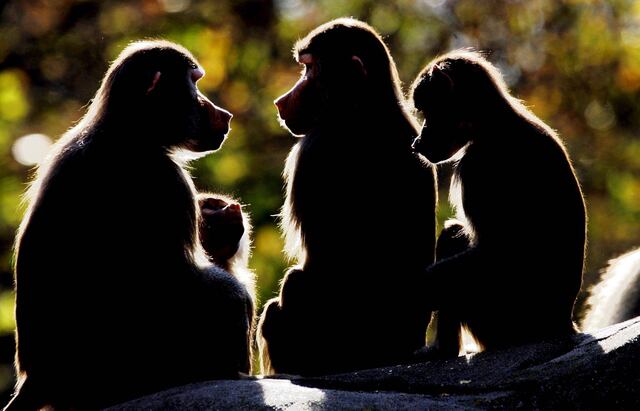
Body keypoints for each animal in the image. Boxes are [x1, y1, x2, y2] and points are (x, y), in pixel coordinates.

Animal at [4, 40, 254, 411]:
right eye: (194, 83)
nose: (224, 114)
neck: (128, 129)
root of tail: (39, 381)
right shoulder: (168, 181)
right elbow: (187, 279)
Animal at [410, 50, 586, 358]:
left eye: (428, 112)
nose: (418, 141)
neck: (491, 123)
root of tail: (562, 323)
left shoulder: (476, 167)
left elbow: (494, 250)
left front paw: (419, 290)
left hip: (500, 320)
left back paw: (443, 351)